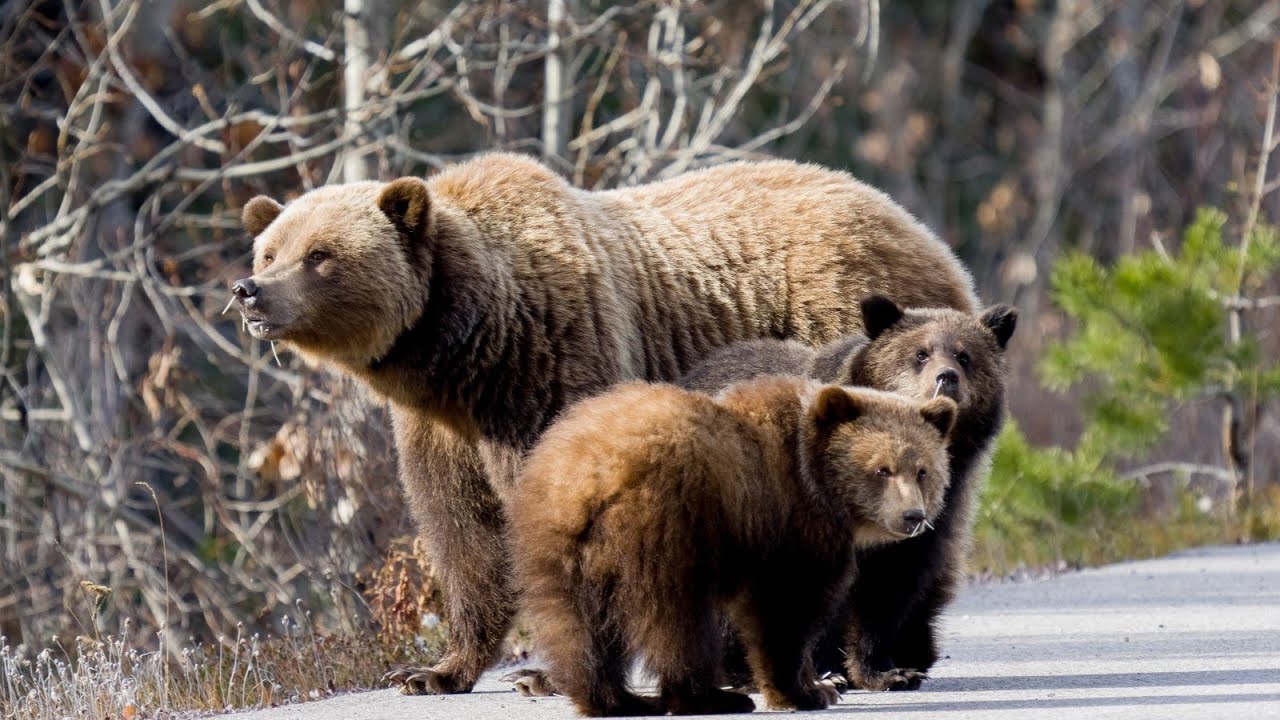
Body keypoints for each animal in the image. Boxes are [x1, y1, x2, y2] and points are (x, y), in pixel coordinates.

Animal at [509, 377, 957, 716]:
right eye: (882, 469)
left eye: (922, 471)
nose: (913, 517)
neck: (819, 481)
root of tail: (594, 476)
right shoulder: (790, 521)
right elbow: (787, 608)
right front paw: (805, 691)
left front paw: (822, 685)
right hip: (668, 530)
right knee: (678, 619)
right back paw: (706, 697)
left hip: (557, 547)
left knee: (579, 625)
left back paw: (614, 700)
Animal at [678, 295, 1017, 692]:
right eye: (920, 353)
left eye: (965, 356)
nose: (946, 377)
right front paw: (827, 671)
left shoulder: (925, 518)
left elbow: (889, 589)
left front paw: (886, 670)